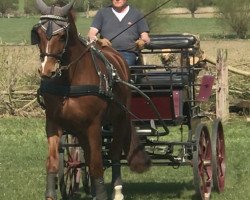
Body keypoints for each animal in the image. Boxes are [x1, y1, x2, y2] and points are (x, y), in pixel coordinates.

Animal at [32, 0, 151, 200]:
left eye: (62, 36)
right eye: (38, 34)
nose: (47, 70)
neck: (70, 80)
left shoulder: (93, 125)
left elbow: (97, 164)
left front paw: (102, 193)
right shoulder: (53, 123)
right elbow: (53, 162)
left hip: (119, 119)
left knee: (114, 154)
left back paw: (117, 191)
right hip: (79, 130)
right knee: (86, 156)